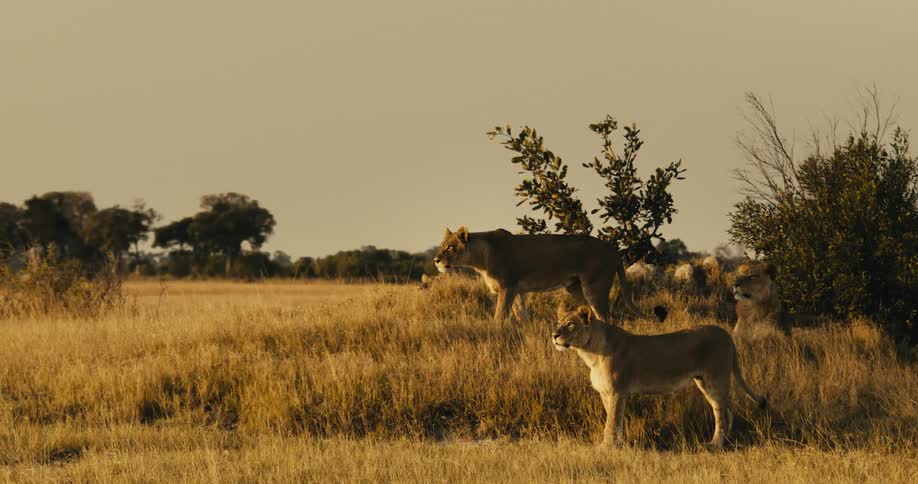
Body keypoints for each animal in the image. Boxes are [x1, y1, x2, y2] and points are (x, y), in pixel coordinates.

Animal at [434, 227, 641, 323]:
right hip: (574, 287)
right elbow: (521, 315)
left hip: (594, 287)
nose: (436, 260)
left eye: (450, 247)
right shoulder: (517, 290)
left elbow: (499, 316)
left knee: (607, 317)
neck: (480, 259)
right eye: (441, 246)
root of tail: (613, 249)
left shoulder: (507, 287)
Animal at [552, 306, 767, 448]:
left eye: (570, 324)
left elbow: (611, 422)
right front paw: (621, 444)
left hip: (716, 379)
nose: (554, 335)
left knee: (722, 412)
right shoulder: (607, 393)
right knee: (727, 410)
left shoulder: (617, 391)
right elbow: (617, 421)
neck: (590, 352)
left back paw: (715, 443)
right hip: (704, 381)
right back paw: (724, 442)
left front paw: (606, 447)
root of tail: (726, 334)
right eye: (558, 323)